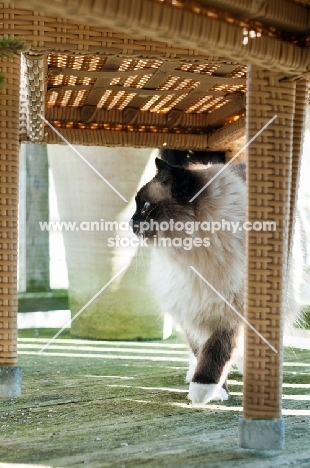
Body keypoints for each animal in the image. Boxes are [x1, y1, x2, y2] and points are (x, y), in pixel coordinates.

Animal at [131, 158, 302, 406]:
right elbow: (200, 350)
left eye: (144, 206)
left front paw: (203, 390)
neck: (195, 260)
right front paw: (215, 391)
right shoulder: (190, 309)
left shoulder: (233, 313)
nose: (131, 221)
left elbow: (217, 350)